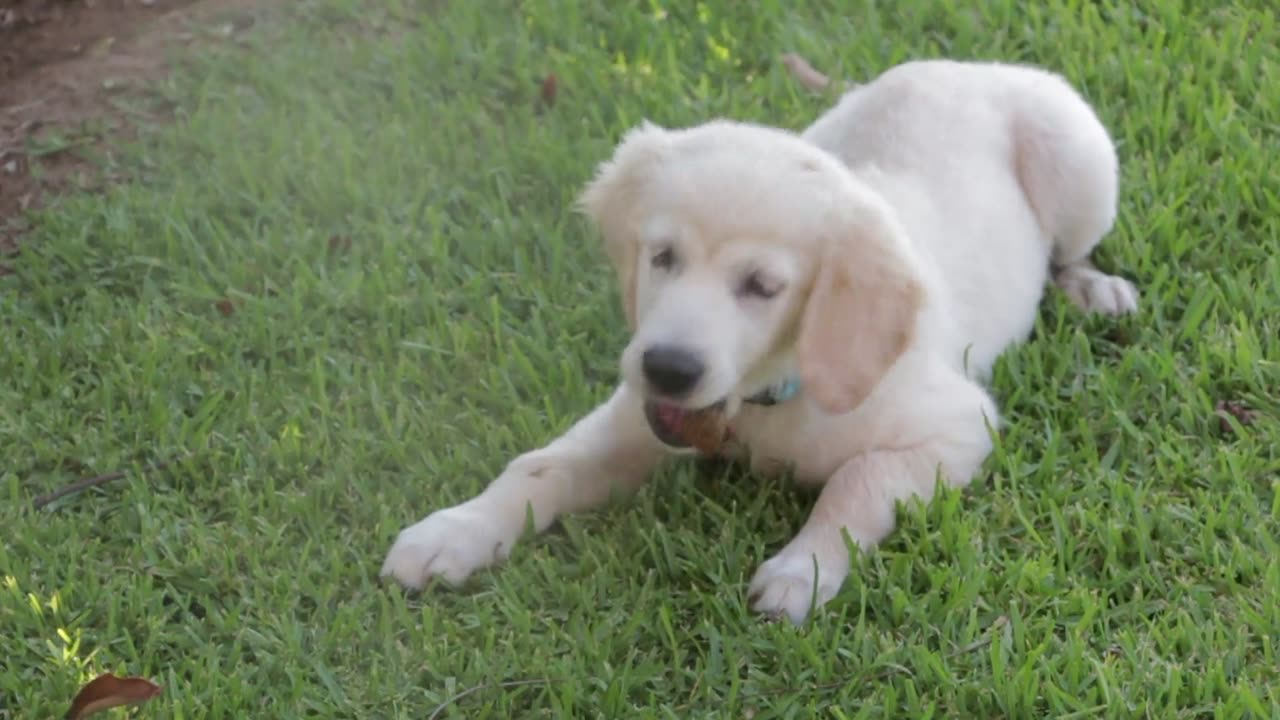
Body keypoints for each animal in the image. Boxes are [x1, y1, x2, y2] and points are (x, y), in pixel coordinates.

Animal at [381, 56, 1141, 622]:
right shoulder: (636, 417)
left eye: (762, 287)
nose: (668, 368)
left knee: (1071, 251)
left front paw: (801, 570)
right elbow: (538, 465)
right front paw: (454, 532)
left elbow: (857, 482)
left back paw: (1094, 289)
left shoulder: (956, 427)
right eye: (662, 257)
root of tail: (971, 63)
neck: (768, 397)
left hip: (1082, 166)